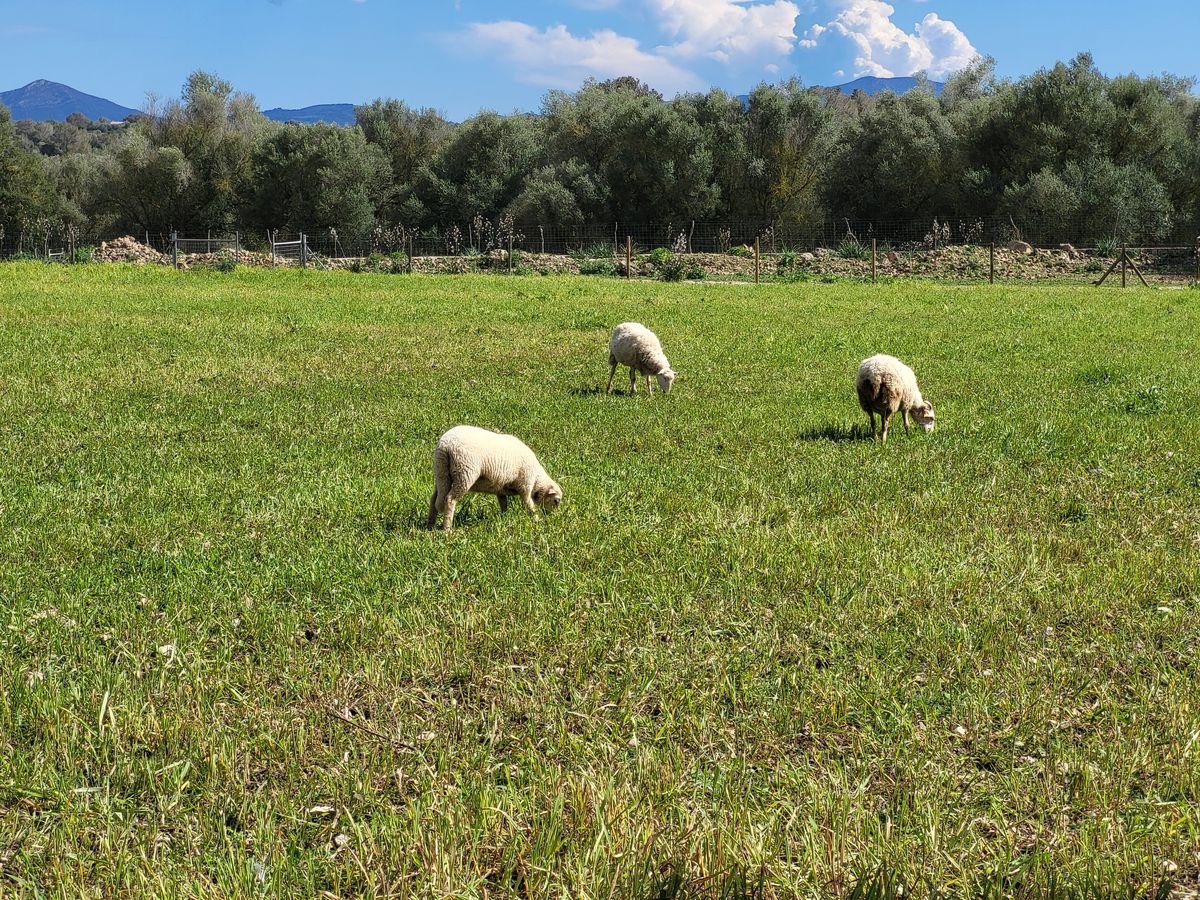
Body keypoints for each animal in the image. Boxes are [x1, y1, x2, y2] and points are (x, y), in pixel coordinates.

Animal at [427, 425, 563, 531]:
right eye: (556, 500)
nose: (552, 516)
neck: (536, 478)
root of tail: (446, 445)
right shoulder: (525, 485)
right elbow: (529, 504)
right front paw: (536, 519)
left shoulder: (500, 488)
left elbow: (503, 503)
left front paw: (504, 517)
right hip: (464, 472)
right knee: (450, 499)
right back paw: (447, 529)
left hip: (441, 472)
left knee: (435, 498)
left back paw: (430, 525)